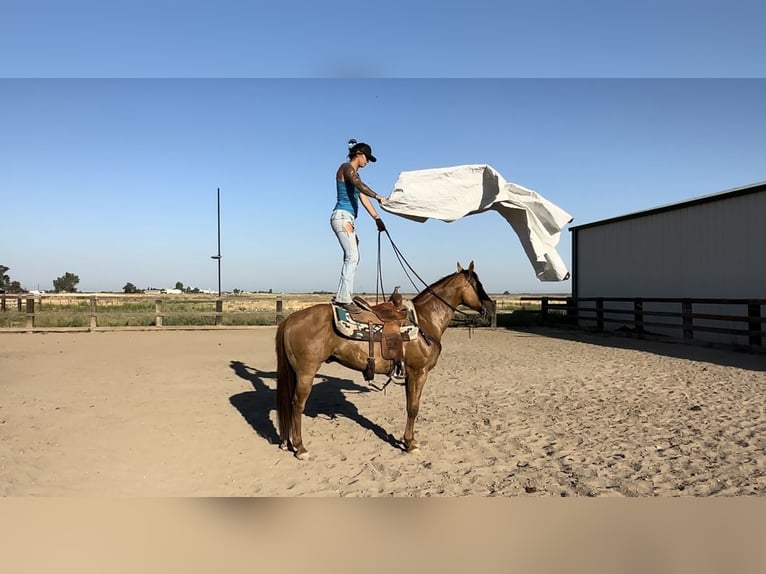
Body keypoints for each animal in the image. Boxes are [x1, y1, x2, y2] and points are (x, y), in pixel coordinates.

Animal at [274, 260, 492, 460]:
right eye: (477, 284)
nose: (488, 308)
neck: (425, 320)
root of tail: (290, 319)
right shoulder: (418, 372)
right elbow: (413, 408)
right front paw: (411, 443)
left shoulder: (408, 373)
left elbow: (409, 405)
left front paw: (408, 440)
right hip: (306, 372)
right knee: (297, 405)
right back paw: (300, 448)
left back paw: (287, 443)